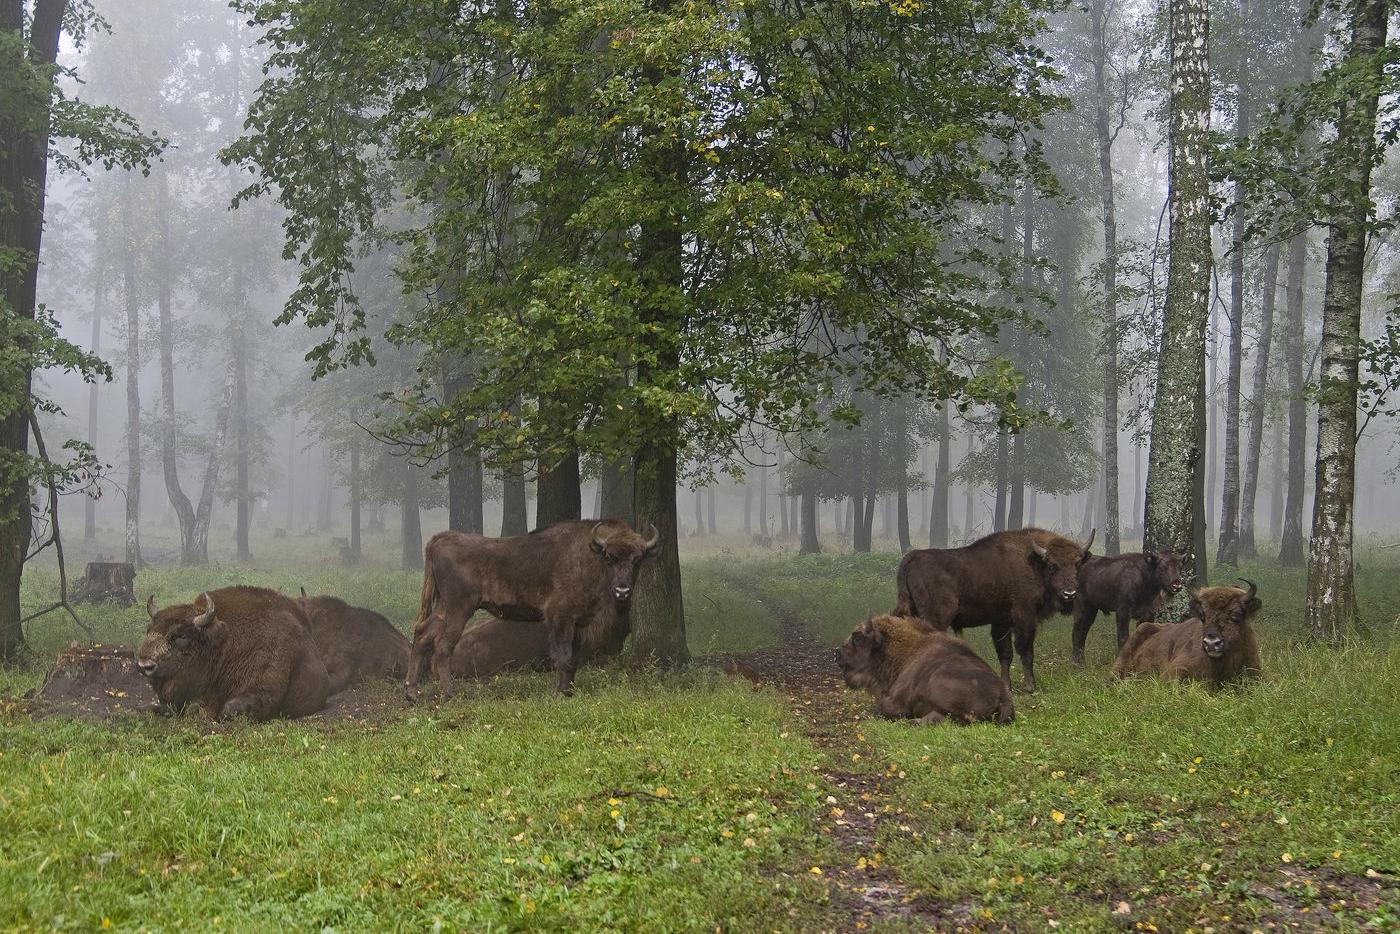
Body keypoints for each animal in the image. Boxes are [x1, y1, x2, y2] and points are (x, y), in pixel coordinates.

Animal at [137, 585, 333, 722]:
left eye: (182, 636)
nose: (144, 665)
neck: (224, 644)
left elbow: (227, 709)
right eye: (149, 630)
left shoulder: (263, 690)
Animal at [406, 523, 660, 697]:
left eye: (637, 560)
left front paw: (568, 691)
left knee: (422, 634)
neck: (590, 554)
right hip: (459, 608)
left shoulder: (577, 623)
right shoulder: (560, 616)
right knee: (442, 646)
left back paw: (411, 693)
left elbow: (573, 659)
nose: (622, 590)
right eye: (609, 558)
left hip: (444, 608)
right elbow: (564, 656)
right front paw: (560, 693)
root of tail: (439, 539)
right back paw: (449, 693)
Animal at [834, 616, 1013, 728]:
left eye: (857, 638)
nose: (837, 654)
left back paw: (913, 722)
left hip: (938, 682)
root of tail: (1003, 694)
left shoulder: (896, 702)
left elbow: (880, 708)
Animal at [896, 526, 1092, 694]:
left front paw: (1006, 686)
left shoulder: (1001, 622)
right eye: (1052, 566)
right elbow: (1026, 651)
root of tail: (911, 558)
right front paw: (1030, 687)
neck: (1034, 563)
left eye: (1077, 564)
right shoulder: (1024, 618)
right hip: (936, 618)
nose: (1070, 593)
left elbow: (1005, 654)